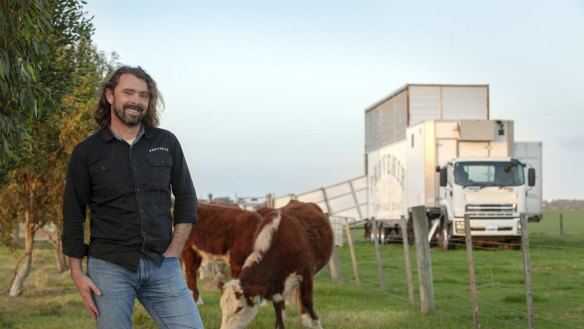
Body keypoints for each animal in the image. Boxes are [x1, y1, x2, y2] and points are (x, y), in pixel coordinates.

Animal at [219, 200, 334, 328]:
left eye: (239, 308)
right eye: (222, 307)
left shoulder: (307, 273)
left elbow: (307, 300)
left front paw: (316, 324)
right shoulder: (275, 286)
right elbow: (278, 307)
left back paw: (305, 320)